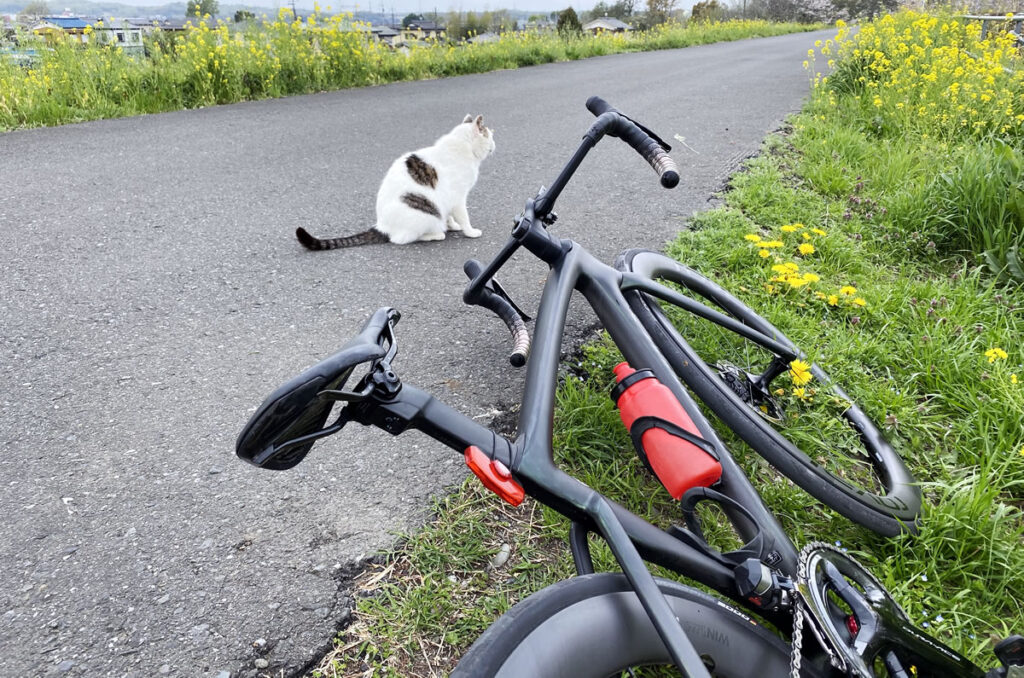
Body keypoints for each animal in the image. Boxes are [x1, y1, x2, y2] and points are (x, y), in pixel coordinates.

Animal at [296, 114, 495, 249]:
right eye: (490, 136)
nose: (495, 144)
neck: (463, 148)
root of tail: (381, 226)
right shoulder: (458, 197)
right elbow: (463, 216)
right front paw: (470, 232)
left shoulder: (450, 200)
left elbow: (450, 216)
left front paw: (453, 226)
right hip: (425, 215)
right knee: (401, 239)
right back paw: (436, 234)